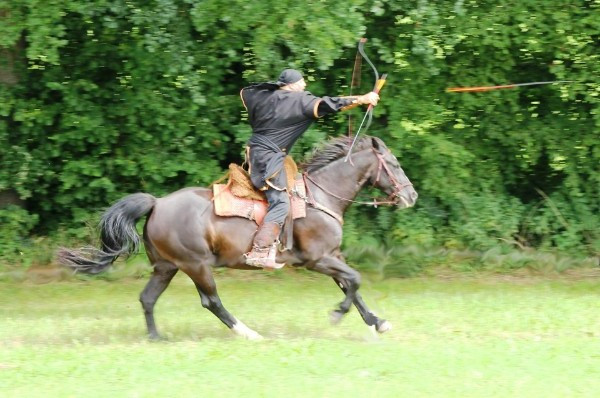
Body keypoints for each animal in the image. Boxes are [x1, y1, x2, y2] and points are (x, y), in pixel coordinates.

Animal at [59, 135, 418, 340]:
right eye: (394, 163)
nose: (411, 196)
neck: (320, 196)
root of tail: (157, 203)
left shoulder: (333, 256)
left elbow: (351, 286)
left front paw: (376, 322)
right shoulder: (318, 260)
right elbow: (354, 281)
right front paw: (338, 314)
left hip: (166, 267)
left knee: (148, 299)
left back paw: (155, 338)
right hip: (195, 265)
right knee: (211, 301)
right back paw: (248, 333)